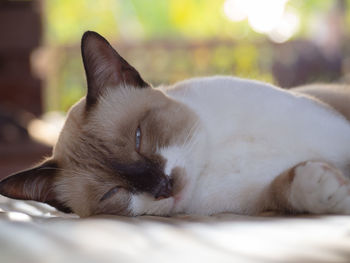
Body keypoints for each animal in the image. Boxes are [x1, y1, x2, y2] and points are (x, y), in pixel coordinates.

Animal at [0, 30, 350, 219]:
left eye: (139, 137)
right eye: (112, 192)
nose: (163, 186)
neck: (212, 161)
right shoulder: (255, 202)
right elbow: (286, 189)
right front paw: (323, 185)